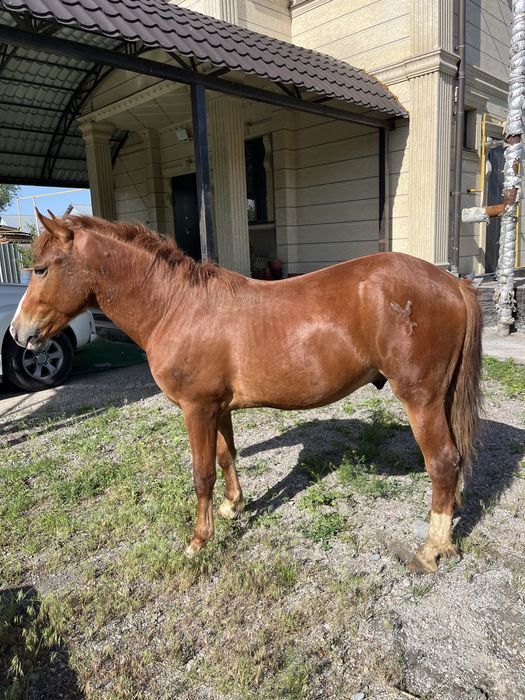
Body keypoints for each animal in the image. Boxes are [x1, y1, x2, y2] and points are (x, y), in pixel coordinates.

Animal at [11, 211, 483, 573]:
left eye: (41, 269)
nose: (18, 333)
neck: (176, 307)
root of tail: (449, 282)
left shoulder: (196, 409)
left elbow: (201, 473)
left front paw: (198, 541)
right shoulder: (217, 408)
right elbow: (226, 456)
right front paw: (233, 507)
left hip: (420, 398)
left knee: (442, 462)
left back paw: (431, 550)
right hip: (440, 398)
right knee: (454, 460)